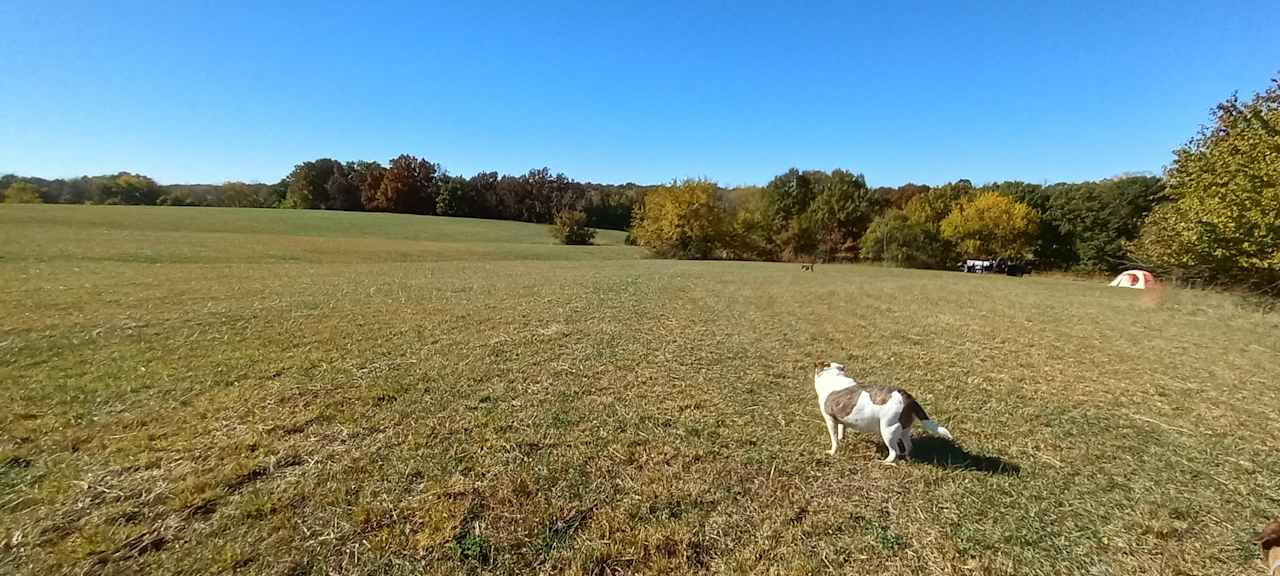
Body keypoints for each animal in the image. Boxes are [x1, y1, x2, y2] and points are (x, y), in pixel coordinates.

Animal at [808, 363, 952, 460]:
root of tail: (907, 397)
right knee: (908, 445)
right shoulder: (840, 417)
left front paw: (832, 451)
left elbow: (834, 439)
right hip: (904, 428)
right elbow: (841, 429)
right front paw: (842, 438)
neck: (833, 376)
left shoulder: (830, 419)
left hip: (888, 430)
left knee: (894, 452)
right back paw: (905, 456)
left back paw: (886, 462)